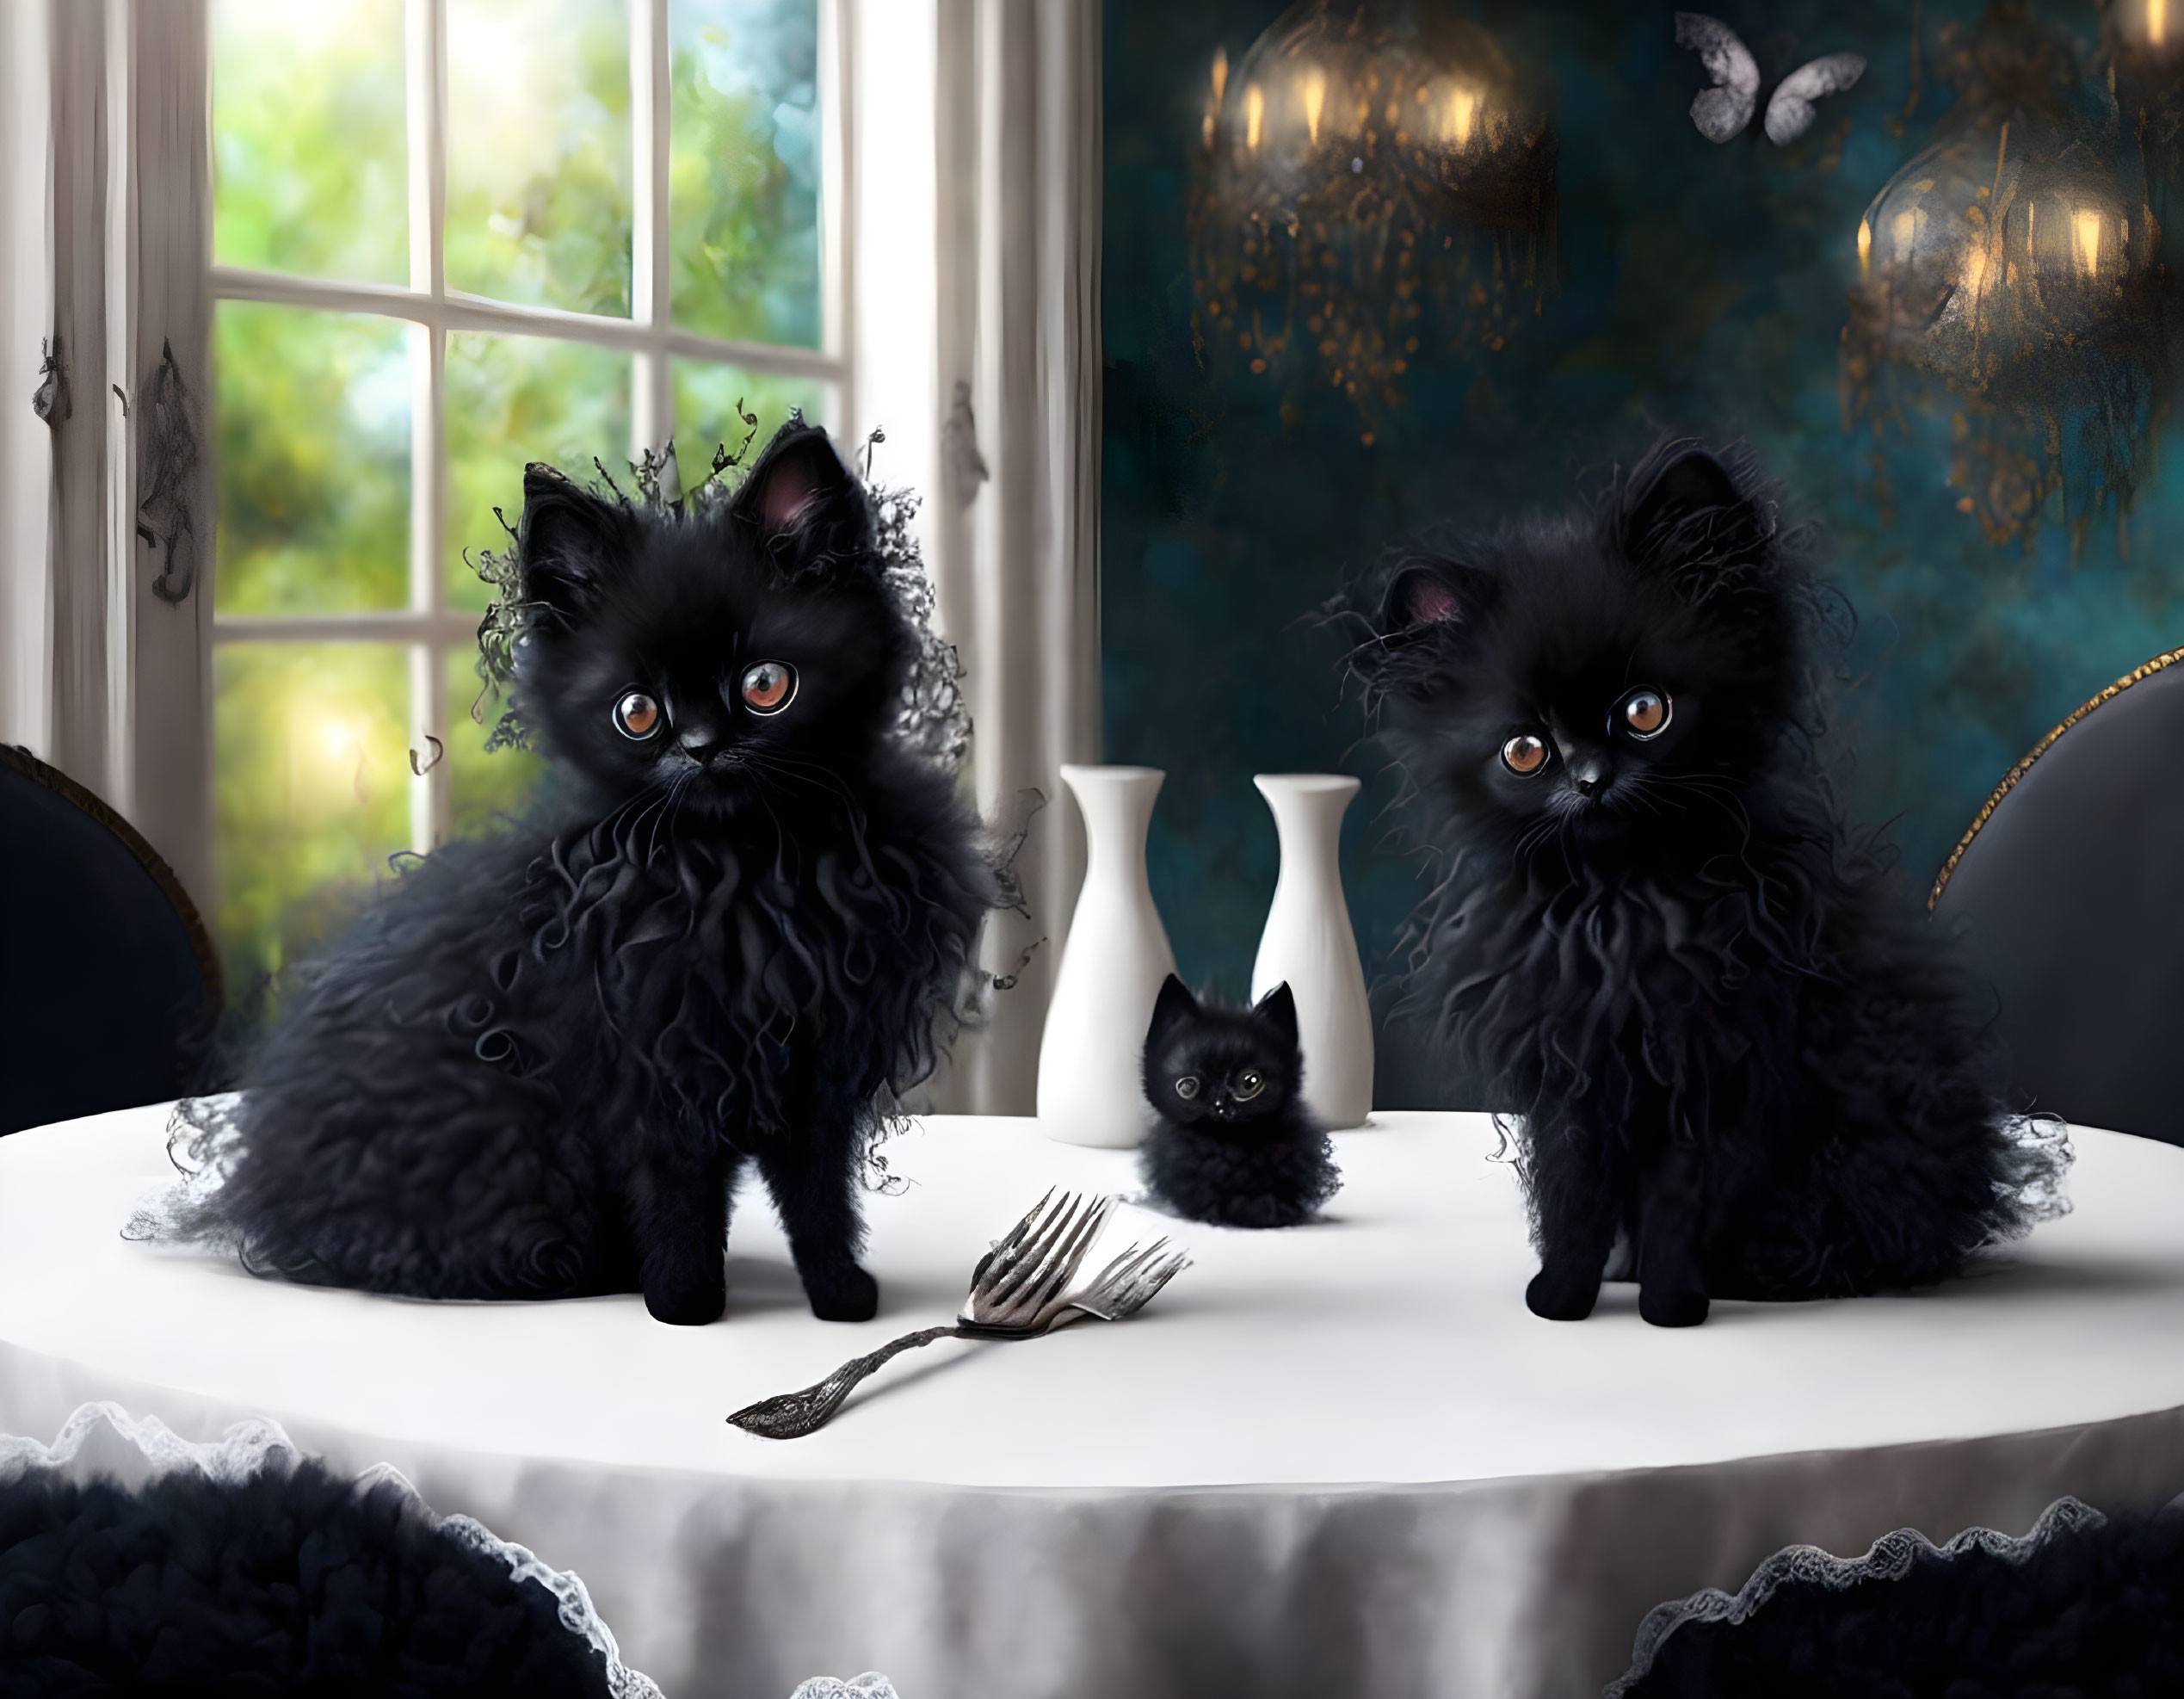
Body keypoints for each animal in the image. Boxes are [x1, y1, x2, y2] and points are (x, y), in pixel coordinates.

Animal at [170, 419, 991, 1327]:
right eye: (638, 713)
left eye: (766, 686)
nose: (701, 748)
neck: (747, 869)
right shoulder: (652, 1067)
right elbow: (679, 1197)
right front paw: (686, 1304)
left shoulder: (811, 1068)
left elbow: (818, 1198)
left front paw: (840, 1295)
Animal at [1328, 436, 2061, 1327]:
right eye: (1526, 751)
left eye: (1645, 712)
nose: (1591, 780)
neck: (1621, 906)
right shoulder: (1576, 1078)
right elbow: (1574, 1199)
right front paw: (1564, 1298)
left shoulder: (1711, 1067)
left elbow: (1678, 1200)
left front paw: (1673, 1303)